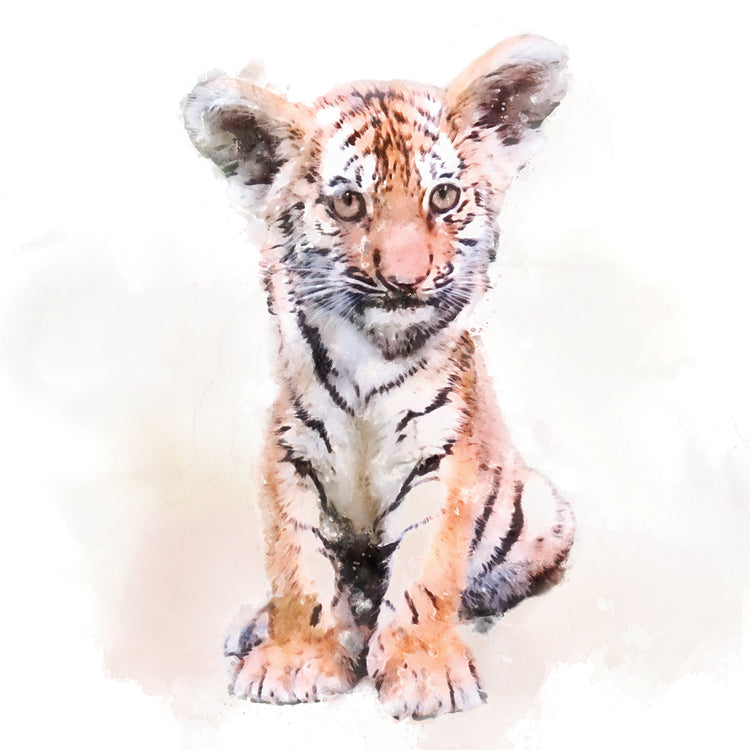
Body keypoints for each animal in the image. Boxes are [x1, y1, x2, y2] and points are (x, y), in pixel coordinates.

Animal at [183, 34, 574, 720]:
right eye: (348, 203)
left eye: (443, 197)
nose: (405, 280)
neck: (372, 352)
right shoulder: (290, 454)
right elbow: (298, 565)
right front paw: (294, 660)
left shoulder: (442, 459)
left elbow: (426, 569)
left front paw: (425, 672)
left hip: (543, 512)